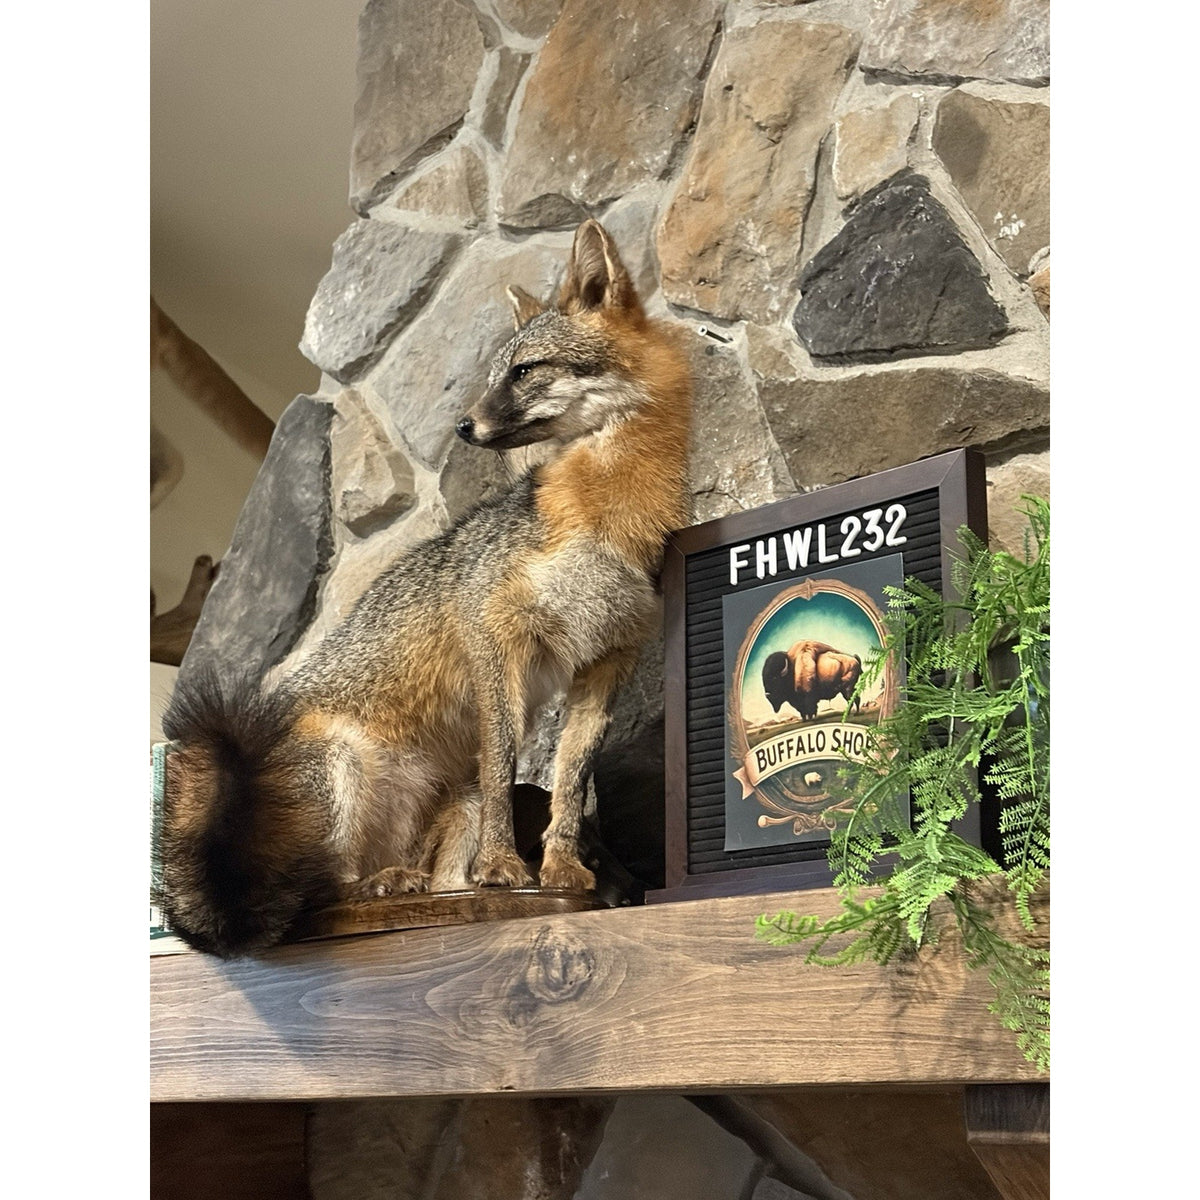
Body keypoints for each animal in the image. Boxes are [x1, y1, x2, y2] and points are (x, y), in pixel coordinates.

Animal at [159, 219, 694, 957]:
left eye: (526, 371)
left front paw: (560, 870)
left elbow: (567, 782)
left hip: (438, 798)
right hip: (341, 772)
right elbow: (504, 767)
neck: (603, 519)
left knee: (395, 878)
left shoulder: (606, 664)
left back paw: (411, 881)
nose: (464, 427)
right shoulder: (496, 640)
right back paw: (379, 887)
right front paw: (502, 867)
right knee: (315, 896)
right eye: (495, 374)